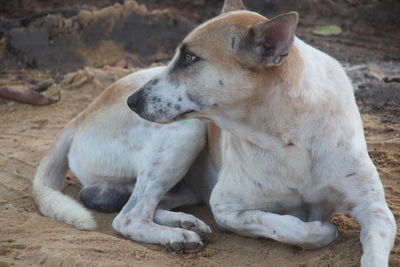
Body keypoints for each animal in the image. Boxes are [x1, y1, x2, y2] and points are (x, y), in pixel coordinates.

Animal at [33, 0, 394, 266]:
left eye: (189, 57)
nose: (132, 102)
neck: (289, 135)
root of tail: (79, 117)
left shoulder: (376, 211)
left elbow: (374, 247)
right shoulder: (227, 207)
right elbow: (292, 228)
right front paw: (319, 228)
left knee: (138, 204)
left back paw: (185, 222)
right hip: (185, 131)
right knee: (129, 216)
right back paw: (178, 236)